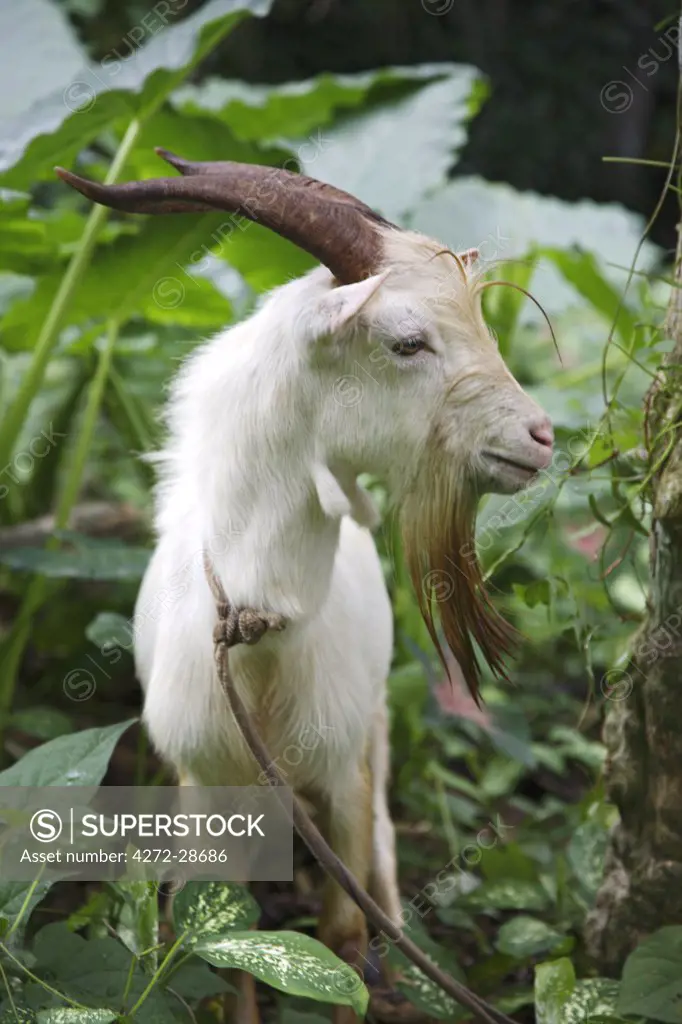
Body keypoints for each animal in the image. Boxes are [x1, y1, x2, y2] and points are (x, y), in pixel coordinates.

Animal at [58, 151, 552, 1024]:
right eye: (407, 341)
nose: (541, 437)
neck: (257, 629)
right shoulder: (205, 787)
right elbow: (227, 950)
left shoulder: (342, 764)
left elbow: (343, 943)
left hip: (375, 733)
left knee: (383, 854)